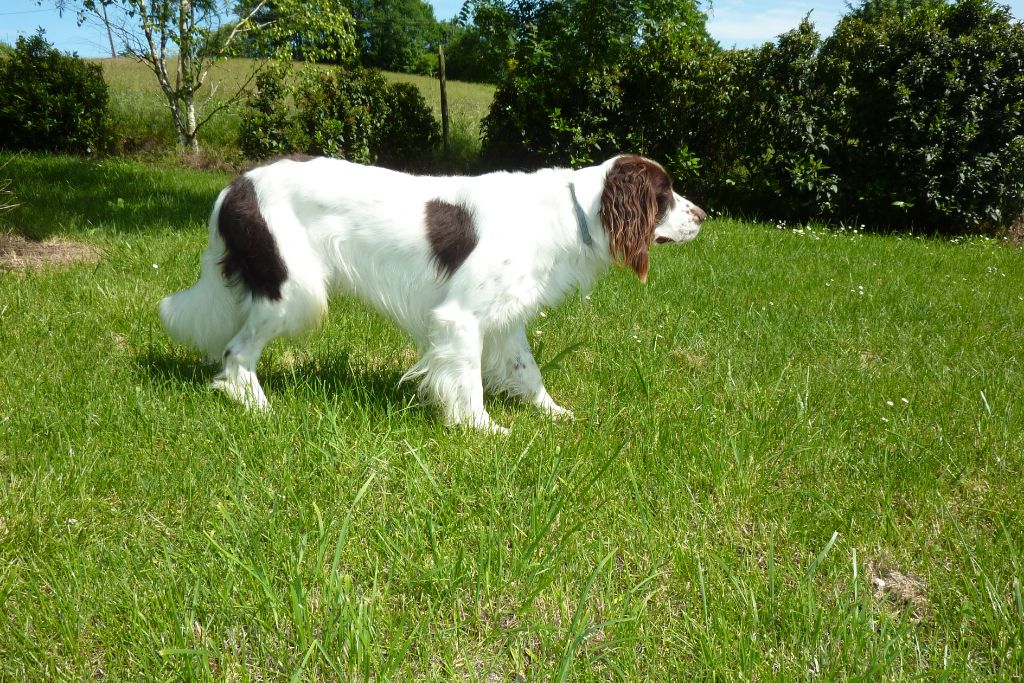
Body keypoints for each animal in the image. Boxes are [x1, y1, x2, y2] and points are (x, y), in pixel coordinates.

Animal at [159, 154, 704, 432]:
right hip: (294, 290)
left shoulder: (507, 319)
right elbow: (469, 385)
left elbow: (528, 372)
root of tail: (234, 187)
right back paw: (258, 408)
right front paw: (482, 430)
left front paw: (555, 414)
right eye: (665, 195)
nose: (703, 215)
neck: (573, 211)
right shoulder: (459, 318)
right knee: (235, 351)